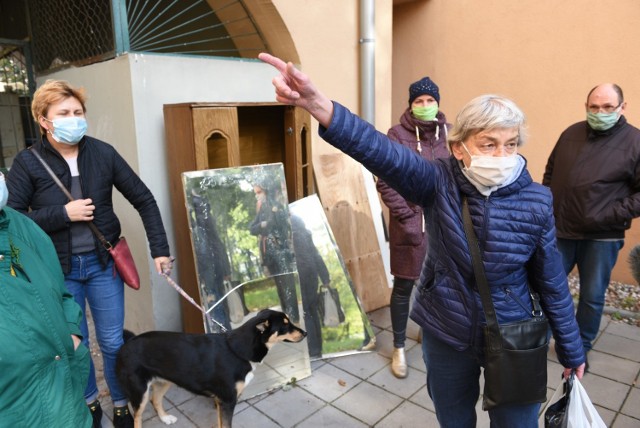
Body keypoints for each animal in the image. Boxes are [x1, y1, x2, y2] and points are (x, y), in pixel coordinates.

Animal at [117, 310, 308, 426]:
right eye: (285, 324)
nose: (306, 333)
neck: (238, 350)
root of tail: (128, 342)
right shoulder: (227, 401)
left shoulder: (220, 401)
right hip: (139, 391)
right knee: (138, 417)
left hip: (164, 381)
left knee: (155, 399)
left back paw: (165, 418)